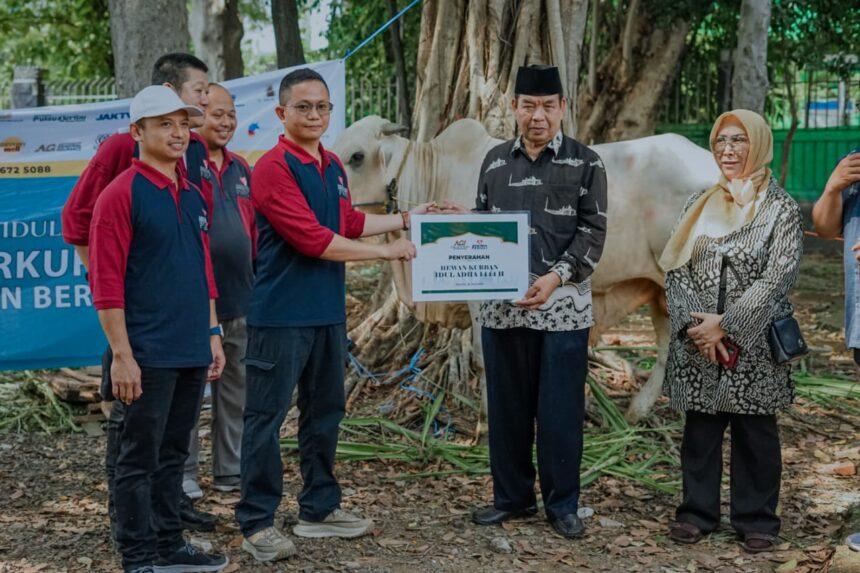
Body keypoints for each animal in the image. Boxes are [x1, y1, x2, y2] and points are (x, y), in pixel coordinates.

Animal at [336, 116, 720, 420]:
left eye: (357, 156)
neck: (437, 171)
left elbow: (483, 355)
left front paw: (488, 420)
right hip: (658, 288)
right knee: (668, 344)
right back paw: (639, 411)